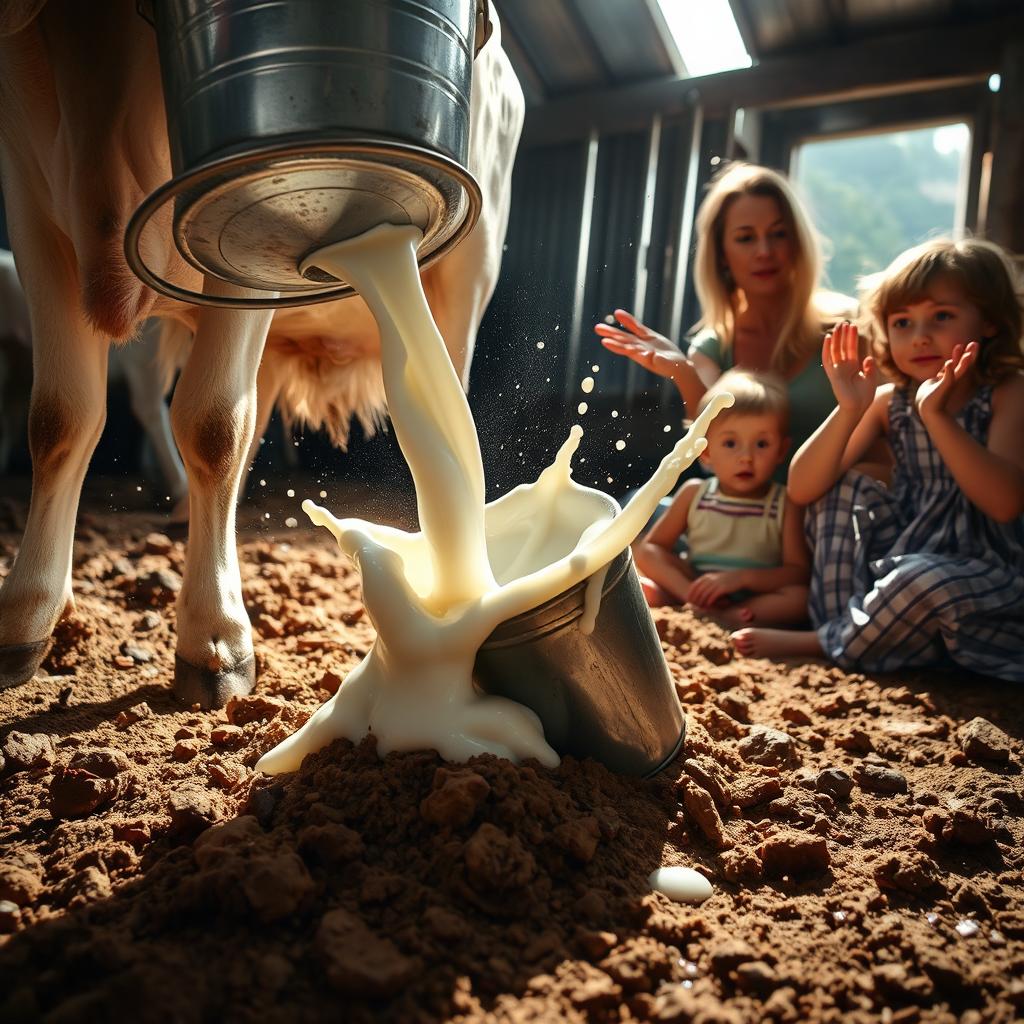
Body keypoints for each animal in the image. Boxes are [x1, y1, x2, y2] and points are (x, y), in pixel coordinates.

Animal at [0, 0, 524, 704]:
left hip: (469, 273)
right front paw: (26, 612)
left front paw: (214, 639)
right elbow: (60, 417)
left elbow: (211, 423)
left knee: (444, 401)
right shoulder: (29, 193)